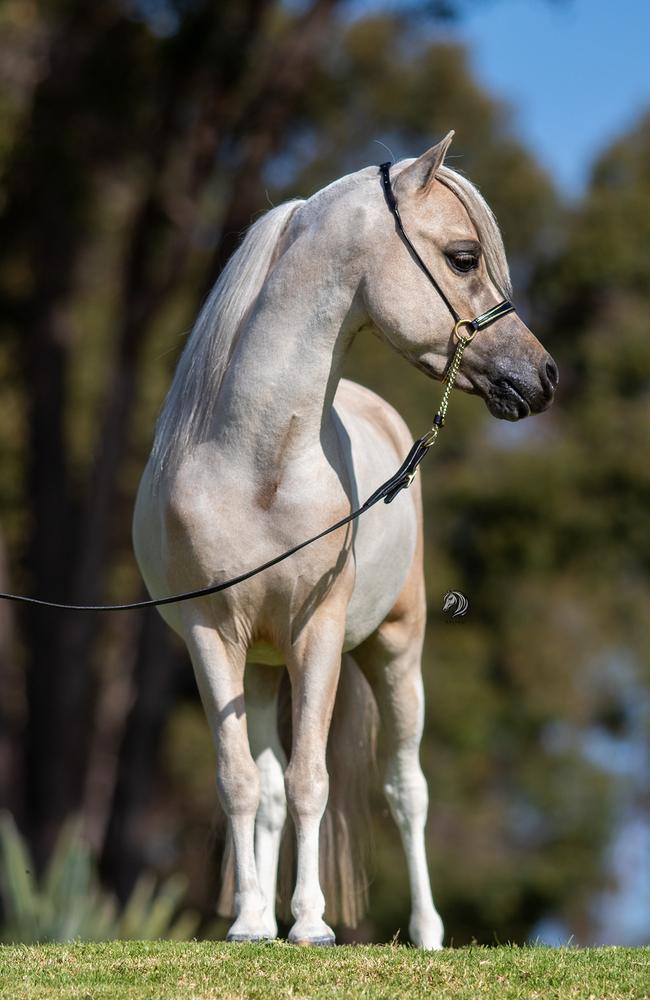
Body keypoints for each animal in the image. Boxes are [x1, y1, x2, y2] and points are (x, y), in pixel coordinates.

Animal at [133, 133, 556, 944]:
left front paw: (311, 926)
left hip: (395, 650)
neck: (258, 464)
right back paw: (262, 915)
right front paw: (252, 926)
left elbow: (312, 779)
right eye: (462, 257)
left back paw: (427, 934)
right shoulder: (213, 636)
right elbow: (242, 781)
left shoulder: (319, 631)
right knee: (269, 787)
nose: (544, 375)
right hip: (264, 666)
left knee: (405, 787)